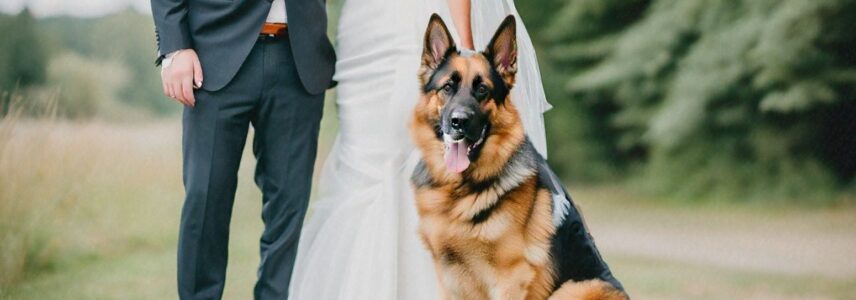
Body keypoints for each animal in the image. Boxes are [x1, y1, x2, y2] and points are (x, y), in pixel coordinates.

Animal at [408, 14, 628, 300]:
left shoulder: (510, 278)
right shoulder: (448, 279)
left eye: (482, 90)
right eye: (447, 88)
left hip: (575, 288)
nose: (458, 122)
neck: (458, 191)